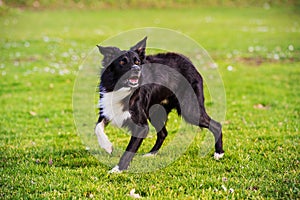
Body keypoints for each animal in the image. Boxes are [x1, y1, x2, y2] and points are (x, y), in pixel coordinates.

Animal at [95, 37, 224, 172]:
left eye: (137, 61)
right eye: (122, 62)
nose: (136, 69)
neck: (122, 88)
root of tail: (189, 62)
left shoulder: (141, 126)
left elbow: (129, 150)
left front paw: (118, 169)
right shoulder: (107, 109)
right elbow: (98, 128)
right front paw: (107, 146)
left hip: (190, 110)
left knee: (216, 125)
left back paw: (219, 153)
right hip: (155, 112)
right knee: (163, 133)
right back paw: (151, 154)